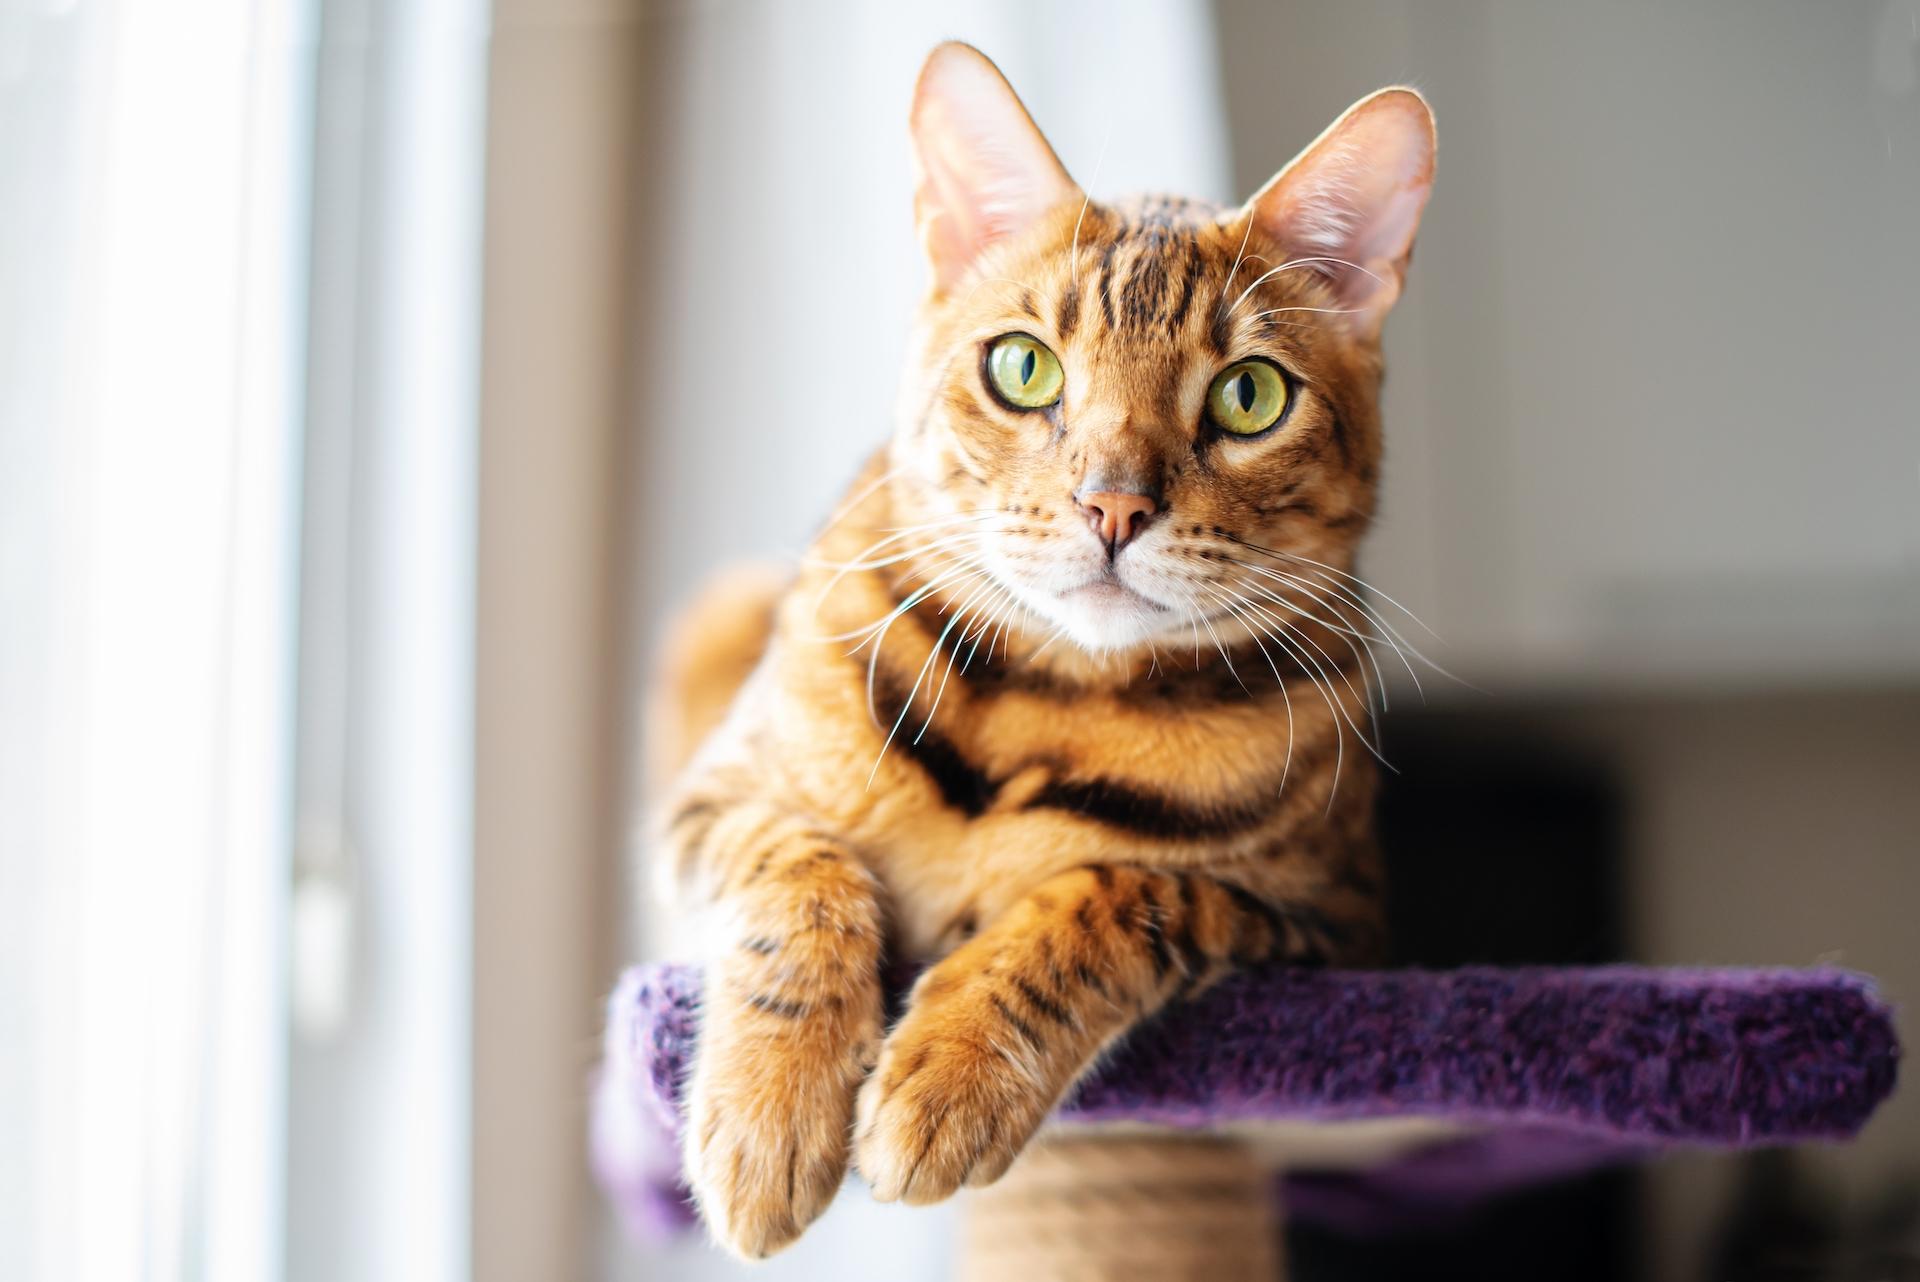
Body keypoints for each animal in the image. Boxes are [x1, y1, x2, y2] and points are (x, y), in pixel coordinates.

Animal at [652, 42, 1436, 1258]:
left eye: (1249, 394)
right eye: (1024, 369)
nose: (1113, 507)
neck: (1049, 696)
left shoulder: (1331, 922)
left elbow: (1121, 893)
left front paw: (951, 1073)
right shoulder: (711, 799)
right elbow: (799, 869)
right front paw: (768, 1113)